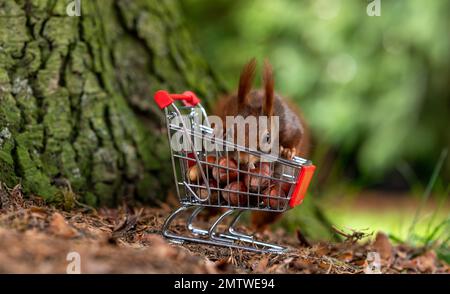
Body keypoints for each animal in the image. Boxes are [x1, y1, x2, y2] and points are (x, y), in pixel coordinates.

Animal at [214, 58, 312, 231]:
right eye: (232, 132)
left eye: (267, 138)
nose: (243, 160)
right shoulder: (227, 109)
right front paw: (221, 131)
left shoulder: (289, 125)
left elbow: (297, 135)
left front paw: (287, 150)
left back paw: (257, 228)